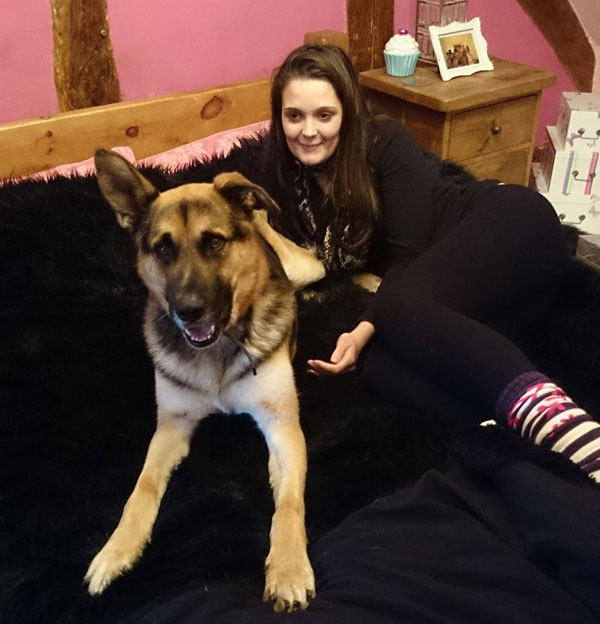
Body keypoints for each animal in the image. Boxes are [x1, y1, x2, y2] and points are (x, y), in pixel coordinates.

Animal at [84, 150, 324, 608]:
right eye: (163, 249)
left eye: (214, 242)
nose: (188, 311)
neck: (218, 350)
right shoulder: (171, 428)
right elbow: (141, 489)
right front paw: (116, 551)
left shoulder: (283, 426)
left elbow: (288, 504)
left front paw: (288, 568)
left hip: (307, 265)